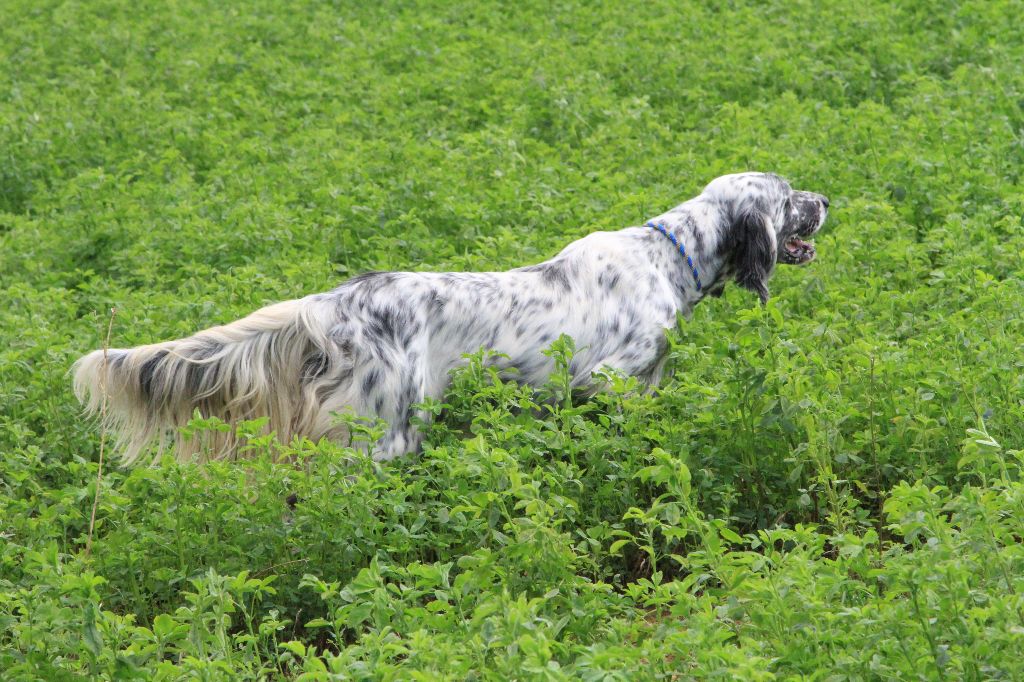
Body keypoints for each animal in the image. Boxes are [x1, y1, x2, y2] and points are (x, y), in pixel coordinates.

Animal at [72, 173, 827, 464]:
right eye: (789, 197)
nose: (827, 200)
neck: (669, 257)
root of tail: (326, 306)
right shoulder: (609, 382)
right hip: (385, 433)